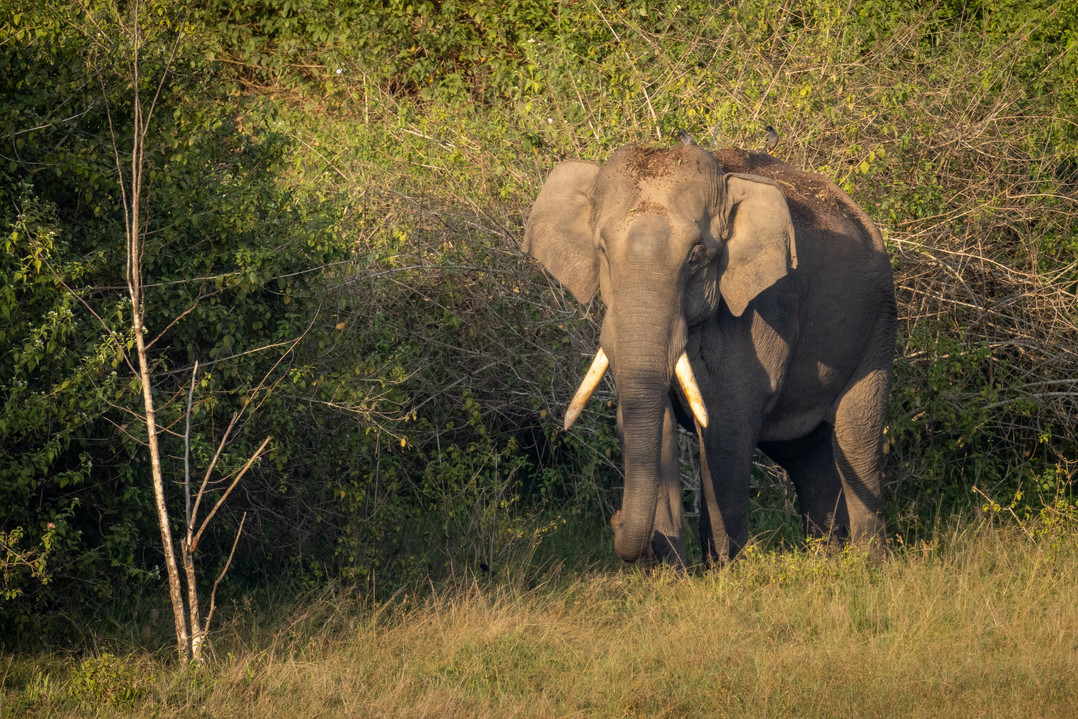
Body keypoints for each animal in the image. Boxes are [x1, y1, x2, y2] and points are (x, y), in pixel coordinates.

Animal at [526, 140, 896, 569]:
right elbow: (654, 423)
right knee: (806, 454)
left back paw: (866, 566)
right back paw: (827, 561)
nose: (616, 521)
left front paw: (722, 572)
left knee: (856, 438)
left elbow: (726, 428)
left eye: (696, 258)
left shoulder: (760, 309)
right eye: (602, 251)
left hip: (879, 322)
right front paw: (672, 575)